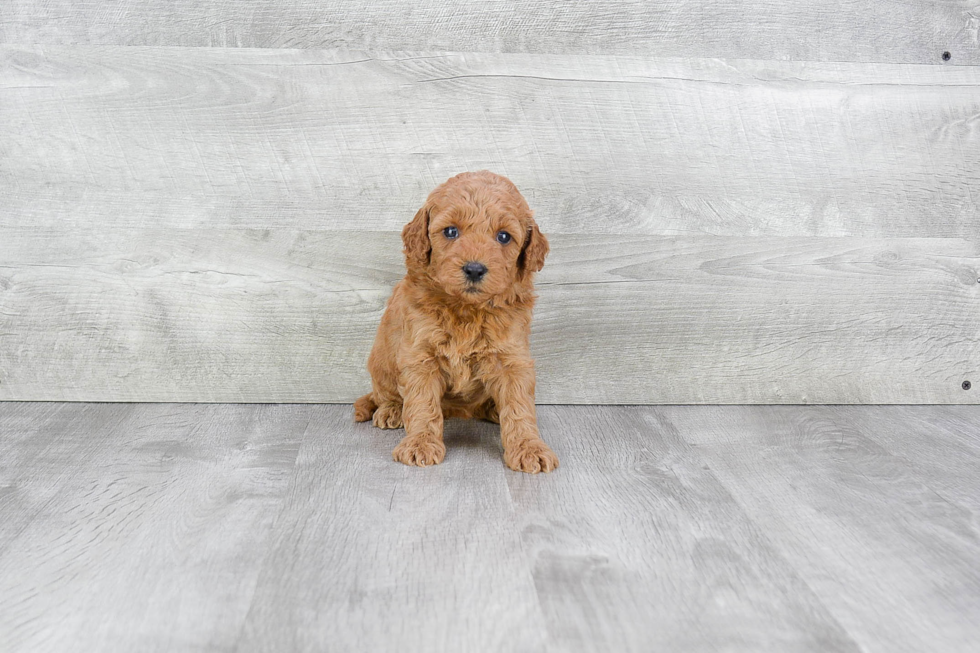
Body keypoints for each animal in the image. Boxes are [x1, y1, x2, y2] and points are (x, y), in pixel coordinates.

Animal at [356, 168, 560, 474]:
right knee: (384, 394)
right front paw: (420, 444)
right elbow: (422, 404)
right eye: (451, 231)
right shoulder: (420, 357)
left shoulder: (513, 359)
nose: (474, 269)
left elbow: (519, 407)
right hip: (381, 363)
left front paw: (529, 447)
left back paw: (493, 409)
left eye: (503, 236)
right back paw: (391, 410)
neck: (466, 309)